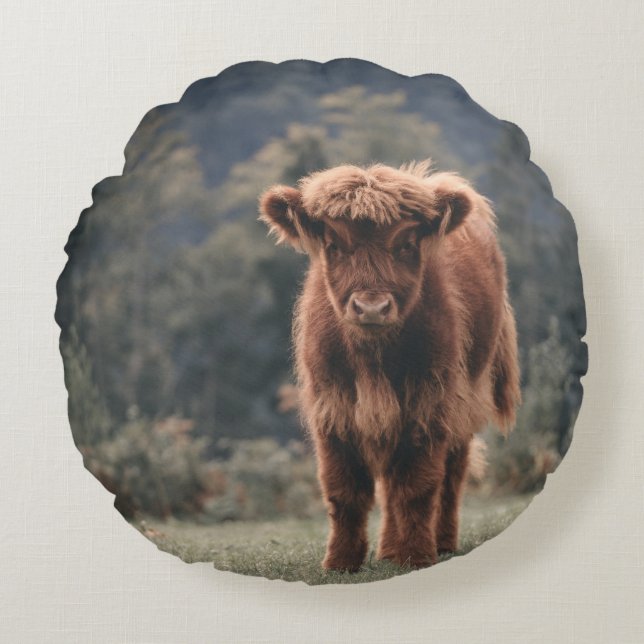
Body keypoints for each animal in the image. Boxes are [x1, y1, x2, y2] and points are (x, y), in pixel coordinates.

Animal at [259, 160, 521, 571]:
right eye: (334, 245)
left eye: (406, 244)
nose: (371, 307)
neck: (373, 359)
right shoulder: (332, 406)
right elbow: (343, 489)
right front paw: (341, 561)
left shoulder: (430, 401)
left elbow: (416, 485)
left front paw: (413, 555)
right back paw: (386, 550)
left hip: (466, 396)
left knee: (451, 474)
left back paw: (439, 543)